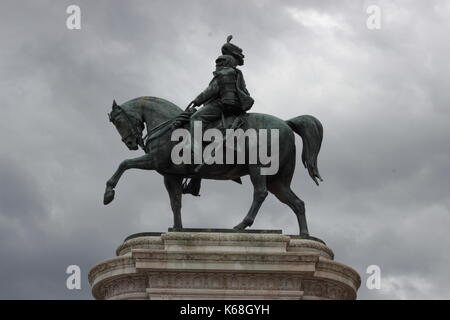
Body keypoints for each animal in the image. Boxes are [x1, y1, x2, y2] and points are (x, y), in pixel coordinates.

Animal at [103, 96, 322, 236]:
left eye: (117, 120)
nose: (130, 143)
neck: (169, 127)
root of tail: (286, 123)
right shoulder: (170, 175)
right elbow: (175, 203)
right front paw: (178, 230)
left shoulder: (155, 160)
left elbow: (124, 164)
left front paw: (108, 193)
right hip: (278, 180)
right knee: (297, 202)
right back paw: (305, 235)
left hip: (258, 168)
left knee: (260, 193)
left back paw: (241, 226)